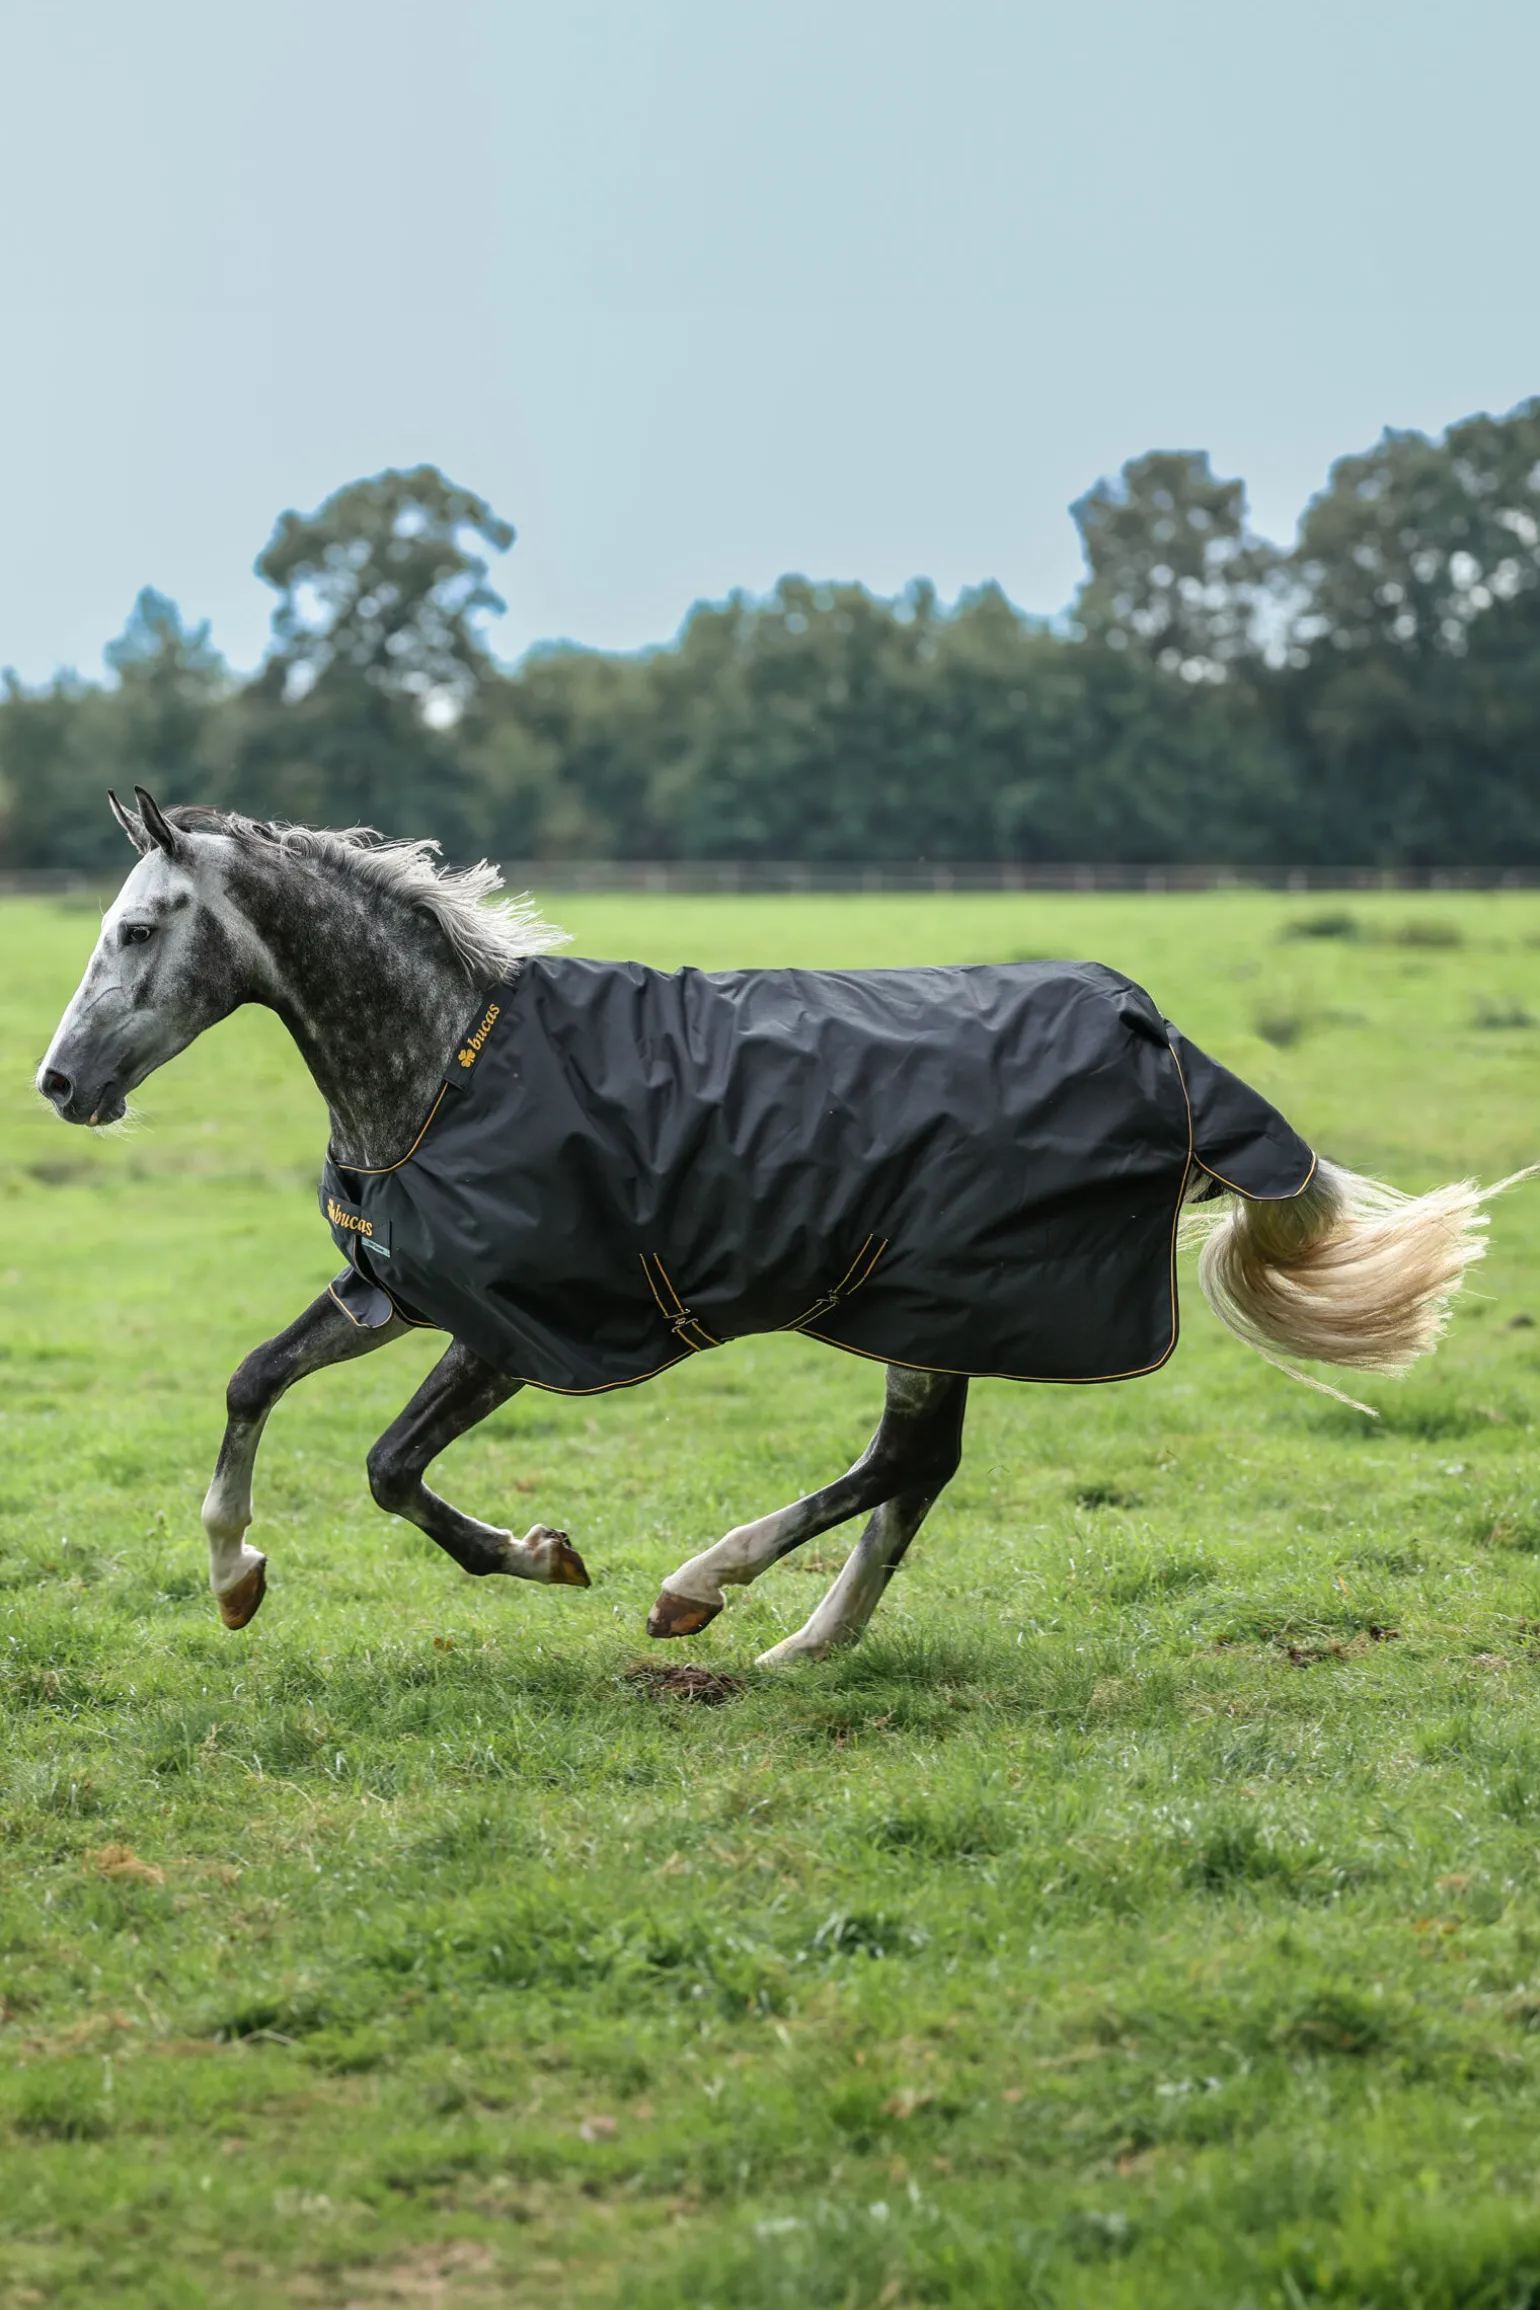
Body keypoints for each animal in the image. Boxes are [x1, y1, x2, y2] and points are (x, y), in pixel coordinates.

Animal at [37, 789, 1503, 1664]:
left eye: (138, 928)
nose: (59, 1084)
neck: (448, 1063)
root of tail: (1172, 1049)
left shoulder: (516, 1323)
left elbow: (393, 1467)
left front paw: (541, 1555)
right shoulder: (399, 1288)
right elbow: (251, 1381)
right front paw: (234, 1574)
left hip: (930, 1298)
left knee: (905, 1462)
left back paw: (706, 1587)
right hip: (928, 1306)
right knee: (919, 1470)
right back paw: (810, 1639)